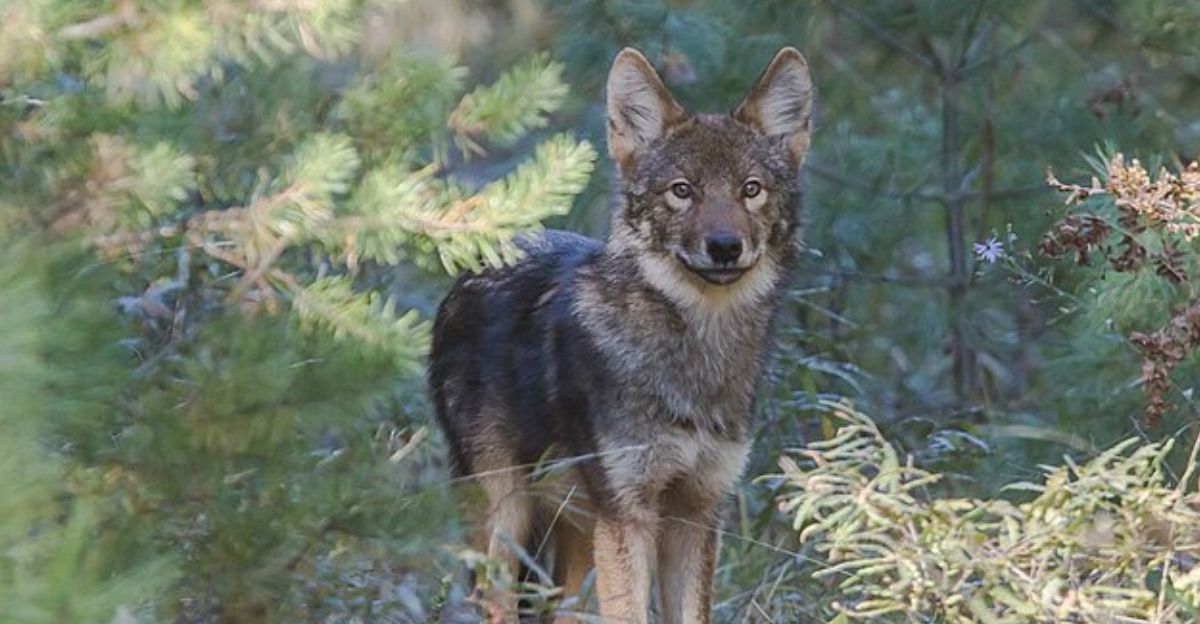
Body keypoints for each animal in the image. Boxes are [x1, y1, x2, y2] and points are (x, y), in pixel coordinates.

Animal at [429, 46, 813, 624]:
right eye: (682, 191)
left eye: (751, 190)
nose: (725, 246)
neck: (696, 354)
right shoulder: (628, 515)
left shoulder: (696, 513)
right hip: (506, 522)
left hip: (576, 542)